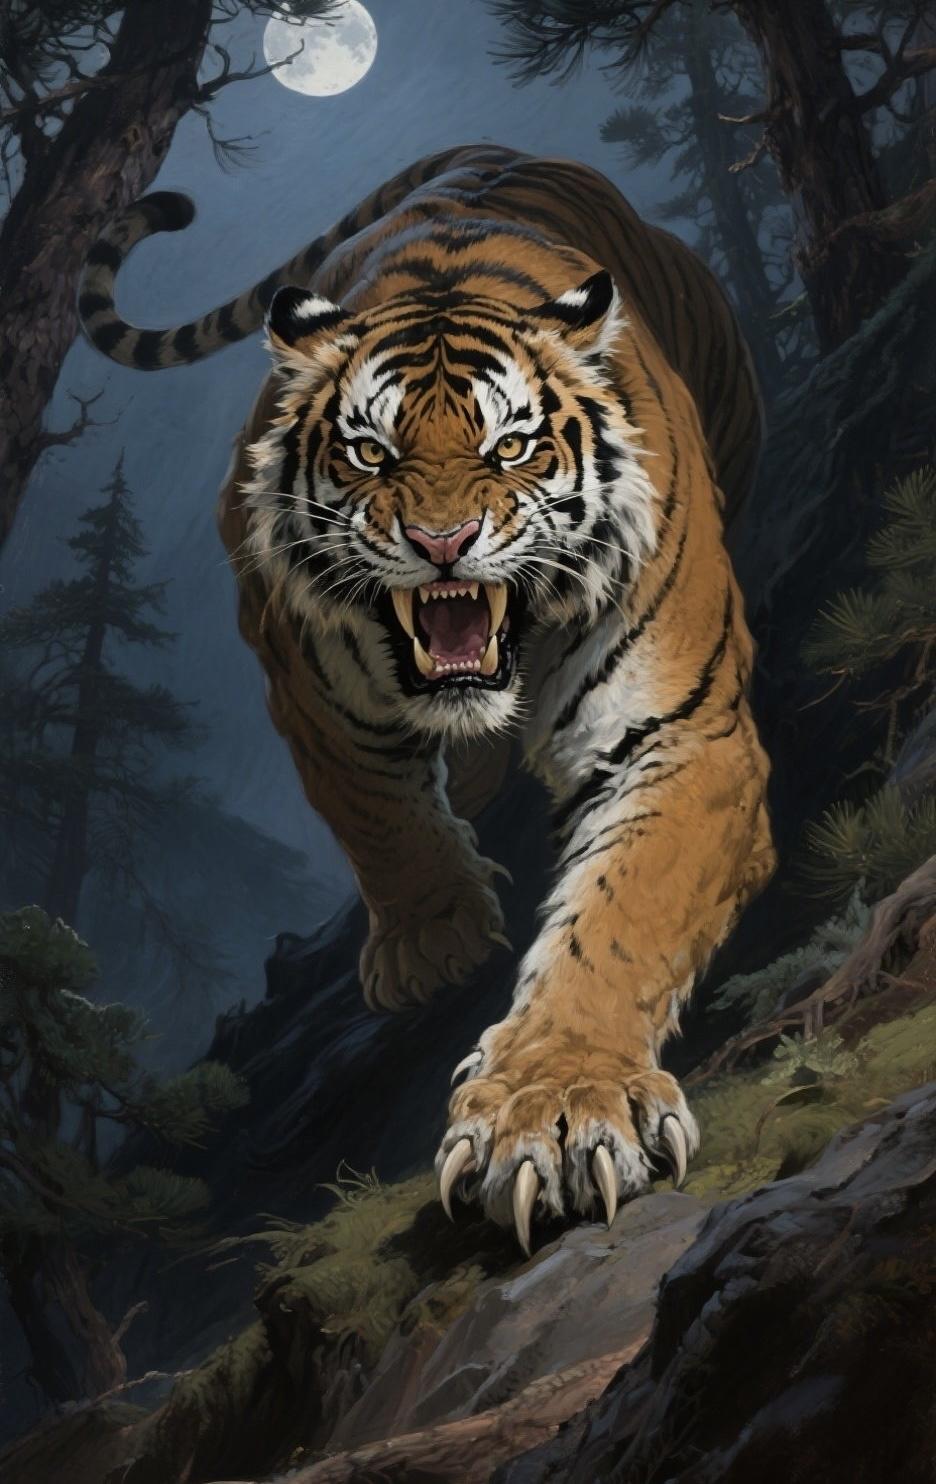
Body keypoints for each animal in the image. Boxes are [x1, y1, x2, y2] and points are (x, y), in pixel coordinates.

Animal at [78, 144, 775, 1252]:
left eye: (512, 447)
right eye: (371, 451)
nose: (441, 542)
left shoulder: (682, 732)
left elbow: (621, 914)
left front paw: (557, 1112)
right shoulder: (304, 683)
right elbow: (377, 813)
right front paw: (433, 940)